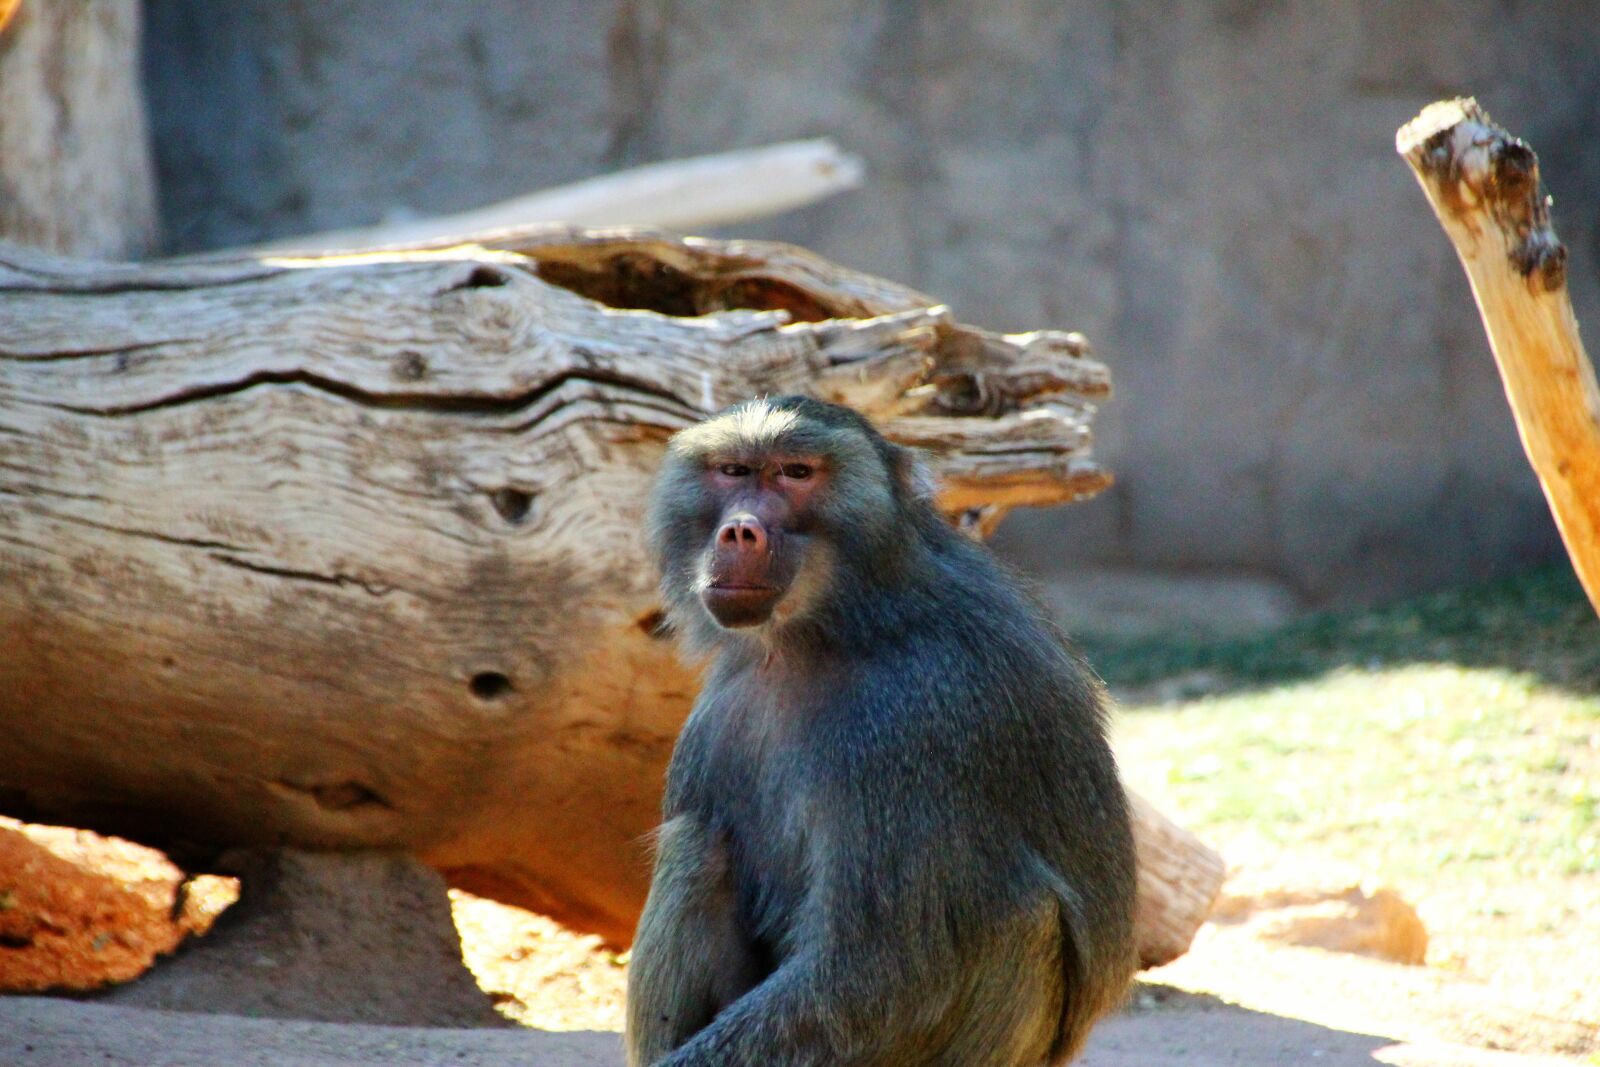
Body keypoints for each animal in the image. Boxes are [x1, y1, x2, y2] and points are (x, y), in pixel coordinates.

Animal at [626, 396, 1136, 1067]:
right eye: (733, 471)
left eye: (795, 473)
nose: (739, 530)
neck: (840, 622)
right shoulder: (722, 708)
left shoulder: (911, 716)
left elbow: (877, 974)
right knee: (695, 843)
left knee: (1018, 916)